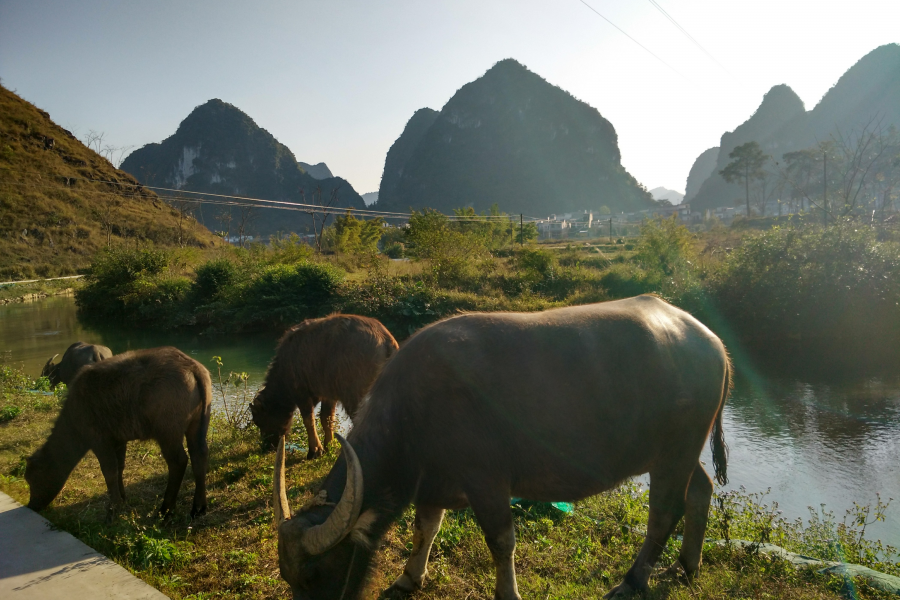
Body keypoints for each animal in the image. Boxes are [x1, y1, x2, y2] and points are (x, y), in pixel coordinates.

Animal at [26, 344, 213, 516]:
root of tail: (191, 366)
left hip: (168, 433)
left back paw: (165, 509)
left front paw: (113, 507)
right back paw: (199, 507)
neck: (74, 413)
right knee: (199, 455)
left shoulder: (99, 441)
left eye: (31, 478)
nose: (31, 506)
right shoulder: (119, 440)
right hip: (197, 424)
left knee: (178, 462)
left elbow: (109, 471)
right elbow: (120, 467)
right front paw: (122, 497)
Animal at [250, 314, 398, 460]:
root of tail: (385, 340)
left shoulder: (301, 394)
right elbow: (326, 419)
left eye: (259, 421)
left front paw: (314, 451)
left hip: (354, 396)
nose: (267, 446)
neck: (285, 367)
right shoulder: (328, 395)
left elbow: (309, 420)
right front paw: (328, 447)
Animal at [270, 296, 728, 600]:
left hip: (676, 451)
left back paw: (632, 582)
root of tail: (712, 342)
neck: (416, 408)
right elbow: (424, 529)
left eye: (315, 574)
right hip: (679, 452)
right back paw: (687, 565)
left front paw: (508, 593)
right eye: (288, 578)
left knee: (664, 513)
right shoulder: (432, 484)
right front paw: (409, 576)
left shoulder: (487, 481)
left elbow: (501, 541)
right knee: (700, 491)